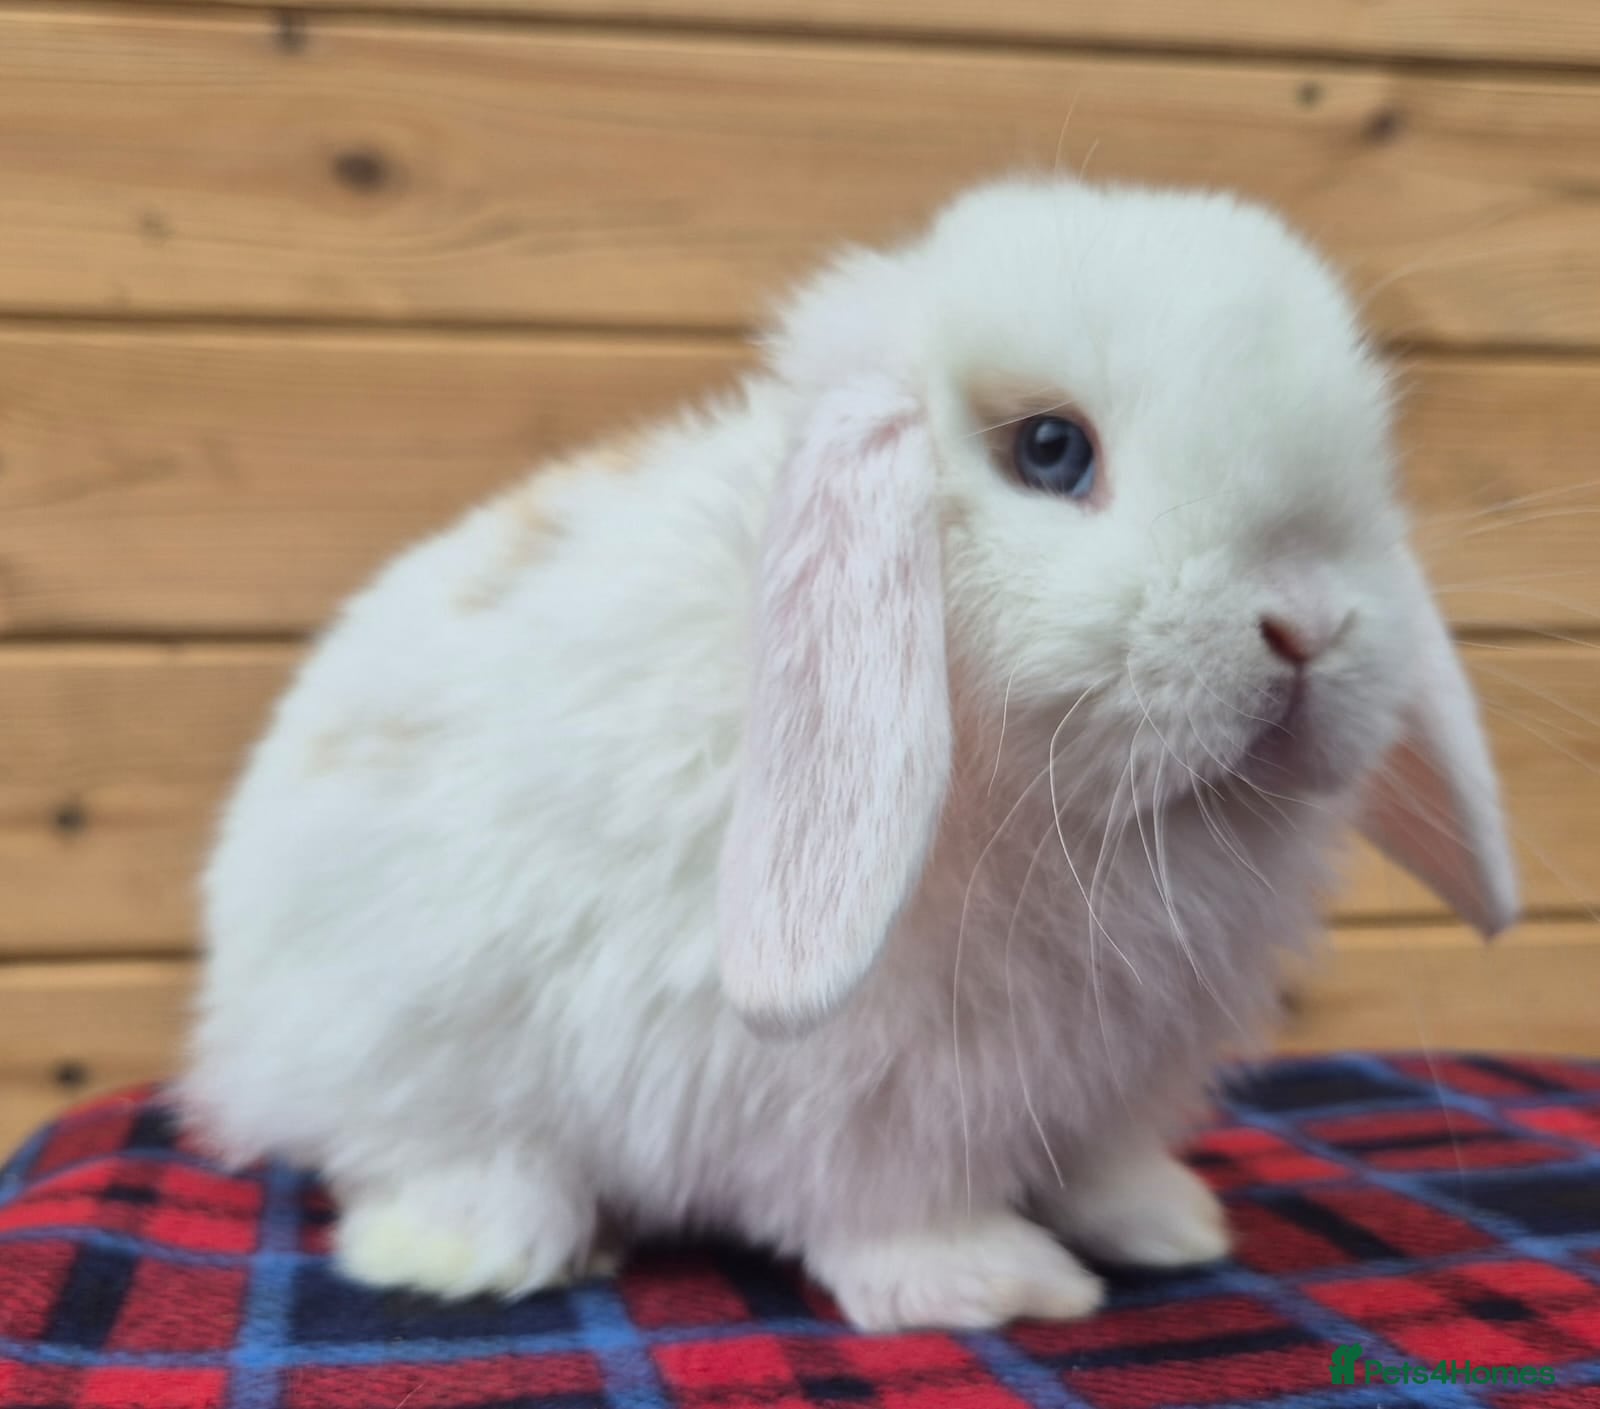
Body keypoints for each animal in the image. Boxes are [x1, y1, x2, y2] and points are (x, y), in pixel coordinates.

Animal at [180, 174, 1517, 1333]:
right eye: (1051, 450)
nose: (1306, 625)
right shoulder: (859, 1094)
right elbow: (891, 1203)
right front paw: (998, 1282)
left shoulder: (1104, 1080)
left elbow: (1102, 1161)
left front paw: (1164, 1223)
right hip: (411, 1050)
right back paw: (480, 1247)